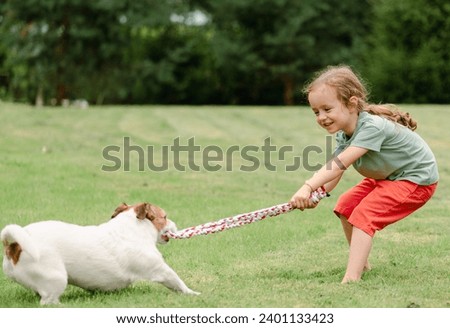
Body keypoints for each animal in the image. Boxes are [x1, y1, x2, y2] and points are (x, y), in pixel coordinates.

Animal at [0, 202, 200, 304]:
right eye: (164, 217)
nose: (175, 225)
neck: (132, 229)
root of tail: (15, 246)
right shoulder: (160, 269)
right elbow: (178, 282)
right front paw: (193, 293)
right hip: (56, 278)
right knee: (48, 301)